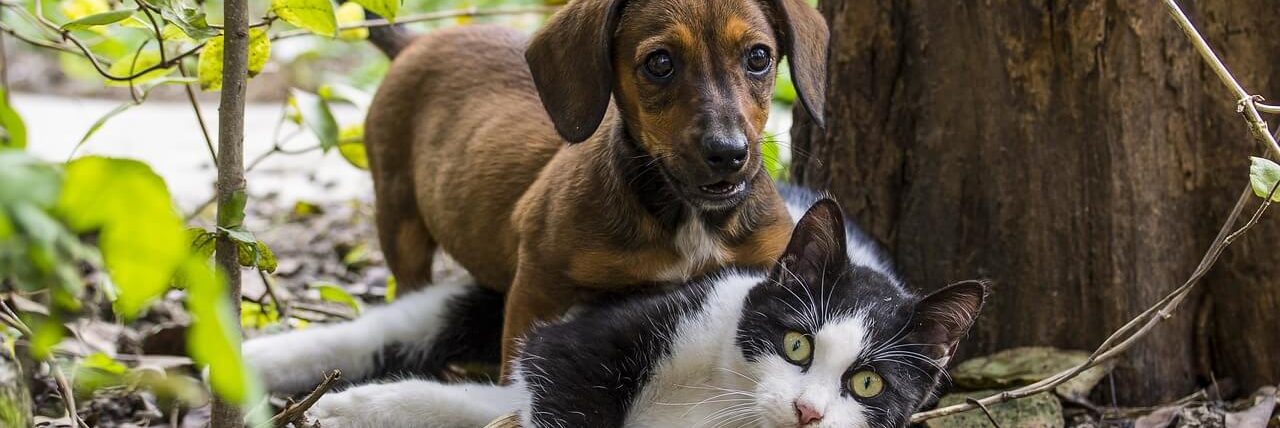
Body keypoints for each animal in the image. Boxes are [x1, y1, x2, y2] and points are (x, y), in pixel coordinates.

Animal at [244, 190, 983, 428]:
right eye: (797, 344)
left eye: (868, 383)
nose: (807, 413)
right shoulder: (623, 327)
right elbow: (565, 372)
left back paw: (352, 408)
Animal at [368, 0, 829, 369]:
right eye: (660, 63)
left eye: (758, 56)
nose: (729, 154)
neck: (687, 217)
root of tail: (413, 43)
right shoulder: (538, 285)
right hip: (399, 221)